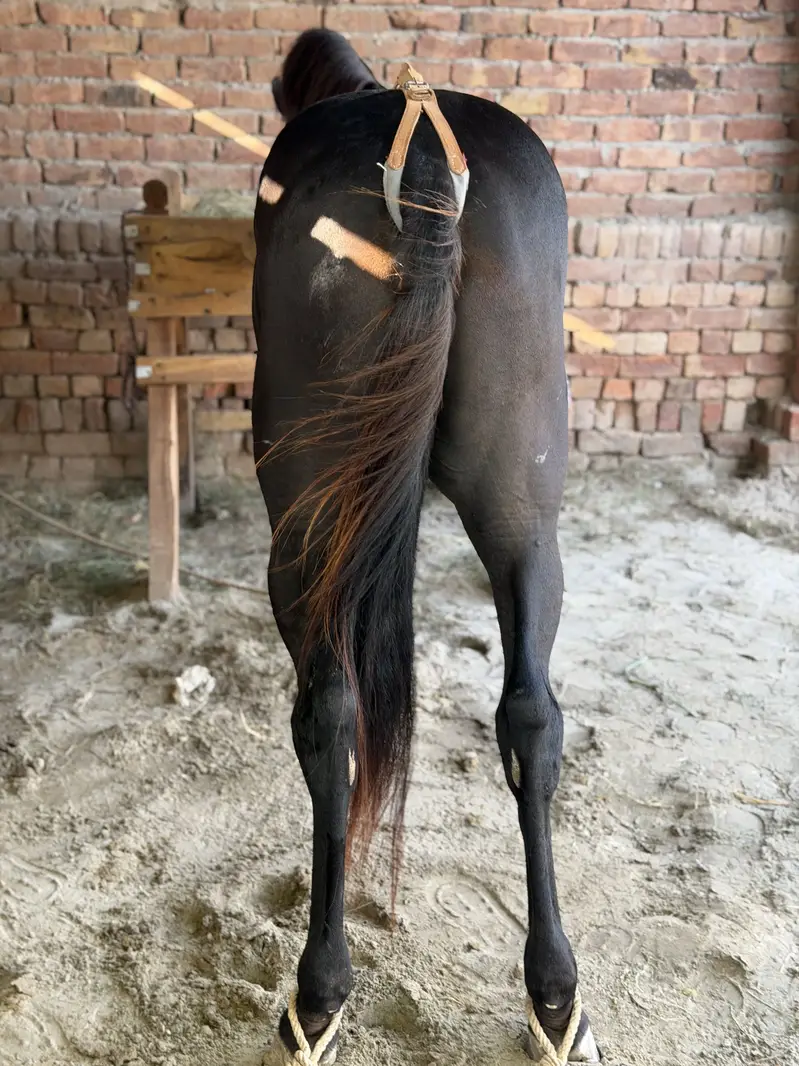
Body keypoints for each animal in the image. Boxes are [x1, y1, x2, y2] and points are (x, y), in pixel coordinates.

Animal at [251, 28, 600, 1066]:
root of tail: (427, 150)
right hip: (522, 509)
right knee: (531, 714)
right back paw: (554, 995)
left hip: (305, 527)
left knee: (328, 720)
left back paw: (317, 993)